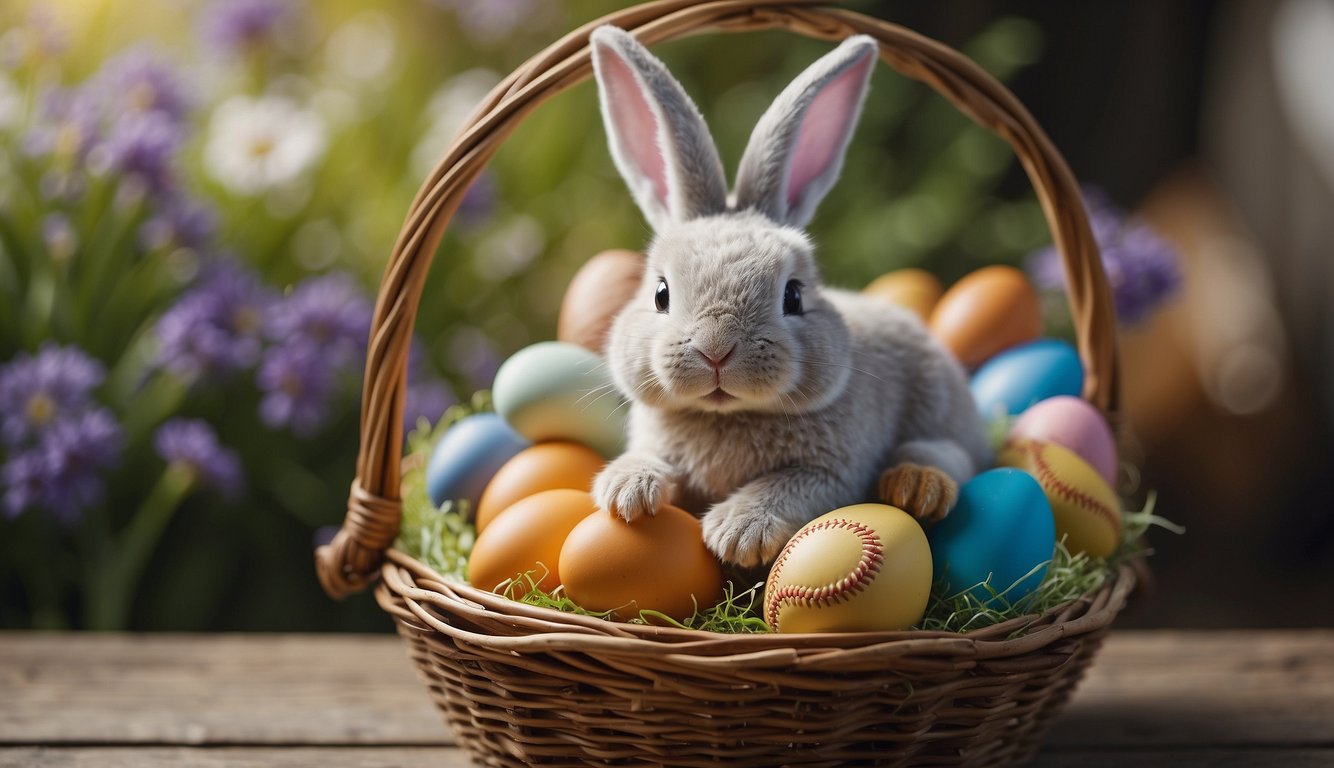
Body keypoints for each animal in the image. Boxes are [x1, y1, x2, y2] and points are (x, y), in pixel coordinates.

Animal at [584, 27, 992, 568]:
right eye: (660, 293)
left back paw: (916, 486)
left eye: (793, 296)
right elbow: (648, 458)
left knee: (954, 456)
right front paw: (625, 493)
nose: (716, 349)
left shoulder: (830, 475)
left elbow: (784, 488)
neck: (728, 416)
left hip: (940, 411)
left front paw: (736, 534)